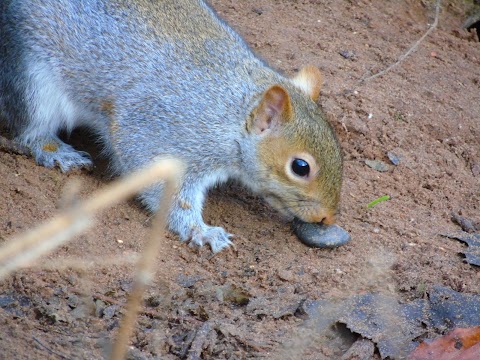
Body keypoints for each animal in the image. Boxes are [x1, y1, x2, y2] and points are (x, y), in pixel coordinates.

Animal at [0, 0, 344, 252]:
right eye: (300, 167)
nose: (327, 217)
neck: (231, 112)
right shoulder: (161, 133)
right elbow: (165, 190)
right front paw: (201, 231)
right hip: (32, 79)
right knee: (29, 130)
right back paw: (55, 150)